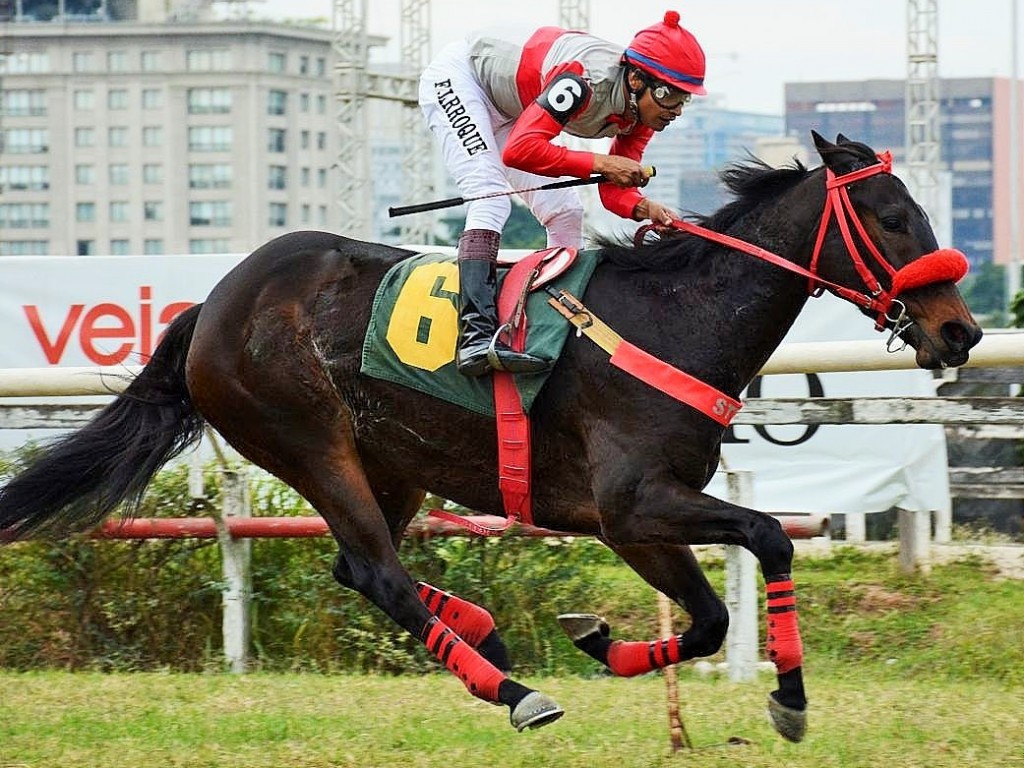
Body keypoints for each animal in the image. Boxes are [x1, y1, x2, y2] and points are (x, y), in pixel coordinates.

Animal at [0, 134, 983, 745]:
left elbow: (706, 621)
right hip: (310, 441)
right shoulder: (633, 504)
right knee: (382, 578)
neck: (675, 318)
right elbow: (772, 537)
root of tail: (212, 304)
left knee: (353, 568)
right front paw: (789, 697)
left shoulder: (635, 521)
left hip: (390, 462)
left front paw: (601, 641)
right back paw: (513, 692)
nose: (961, 332)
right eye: (893, 216)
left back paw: (483, 634)